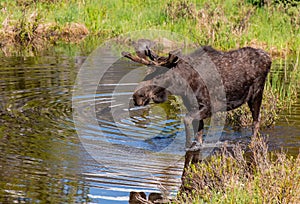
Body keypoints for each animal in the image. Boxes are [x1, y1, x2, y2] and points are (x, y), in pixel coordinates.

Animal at [122, 39, 272, 148]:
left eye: (159, 75)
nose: (137, 96)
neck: (183, 87)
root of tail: (268, 58)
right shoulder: (193, 106)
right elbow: (199, 133)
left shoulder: (209, 107)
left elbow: (187, 120)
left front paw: (188, 145)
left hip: (256, 94)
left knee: (256, 121)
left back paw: (252, 143)